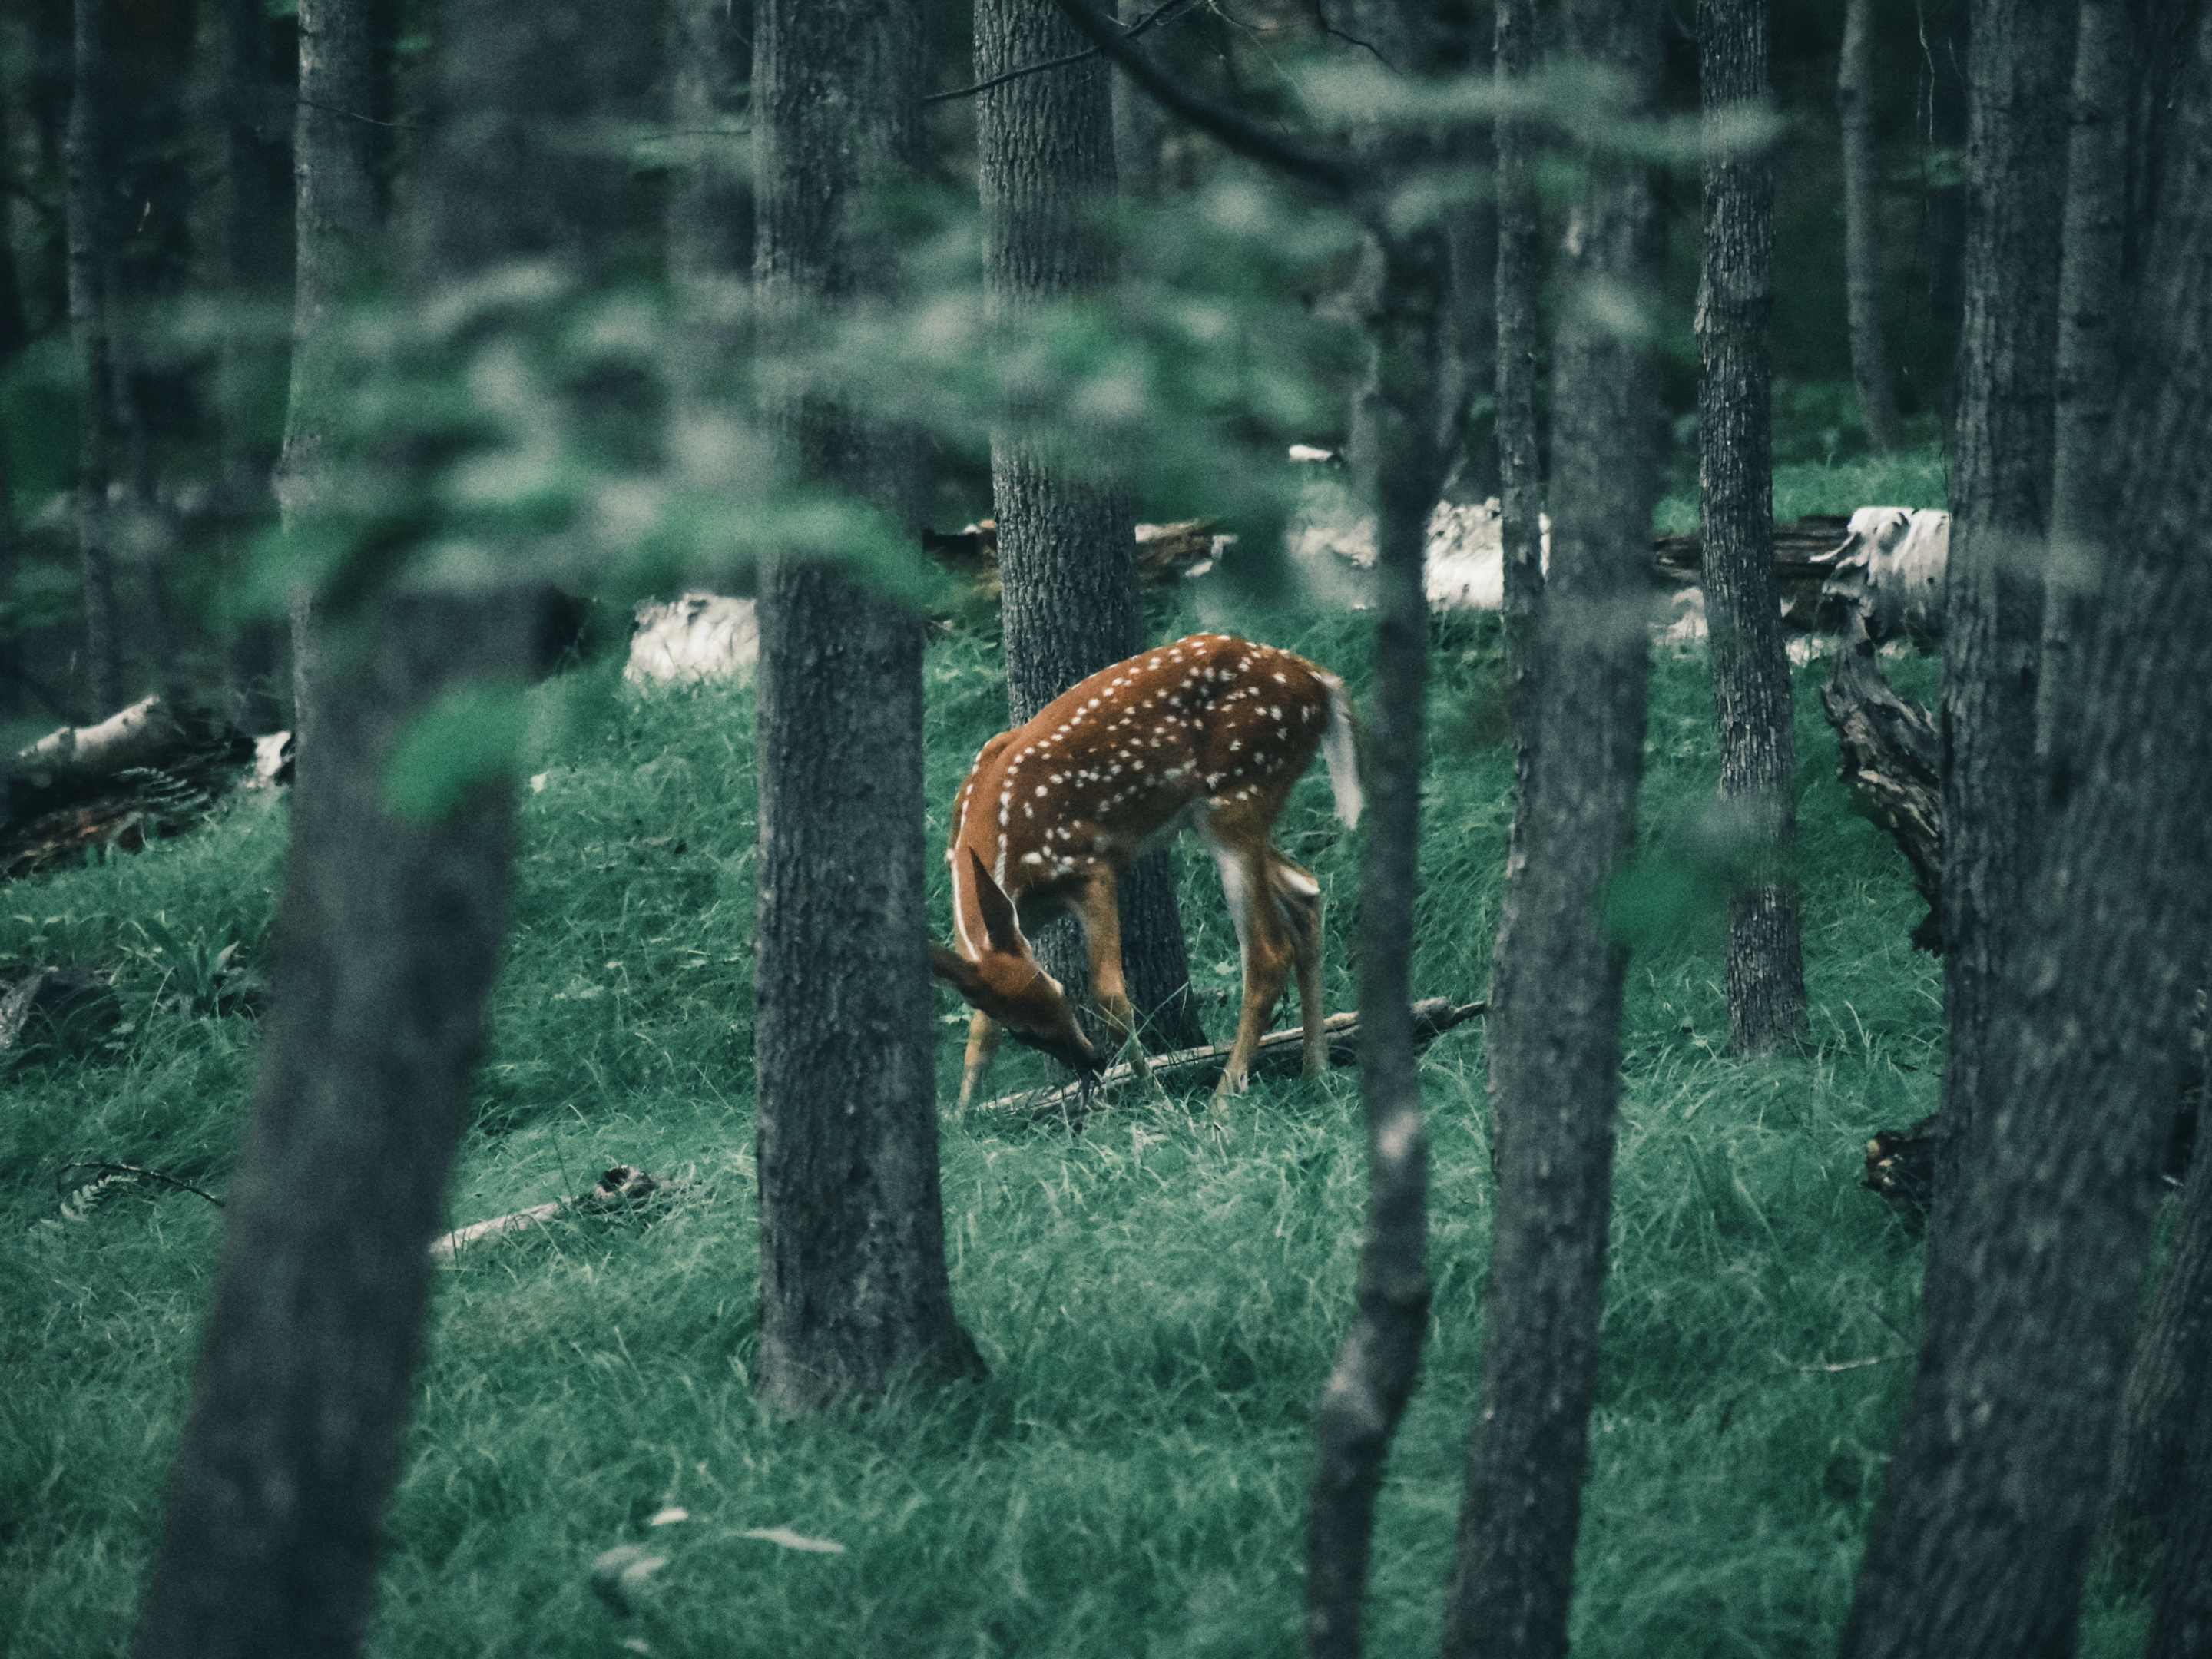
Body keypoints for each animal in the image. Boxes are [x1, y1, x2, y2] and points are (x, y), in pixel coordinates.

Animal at [924, 628, 1353, 1110]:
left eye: (1059, 991)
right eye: (1023, 1030)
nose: (1090, 1061)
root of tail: (1317, 680)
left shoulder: (1091, 865)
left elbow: (1109, 996)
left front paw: (1155, 1097)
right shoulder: (1018, 920)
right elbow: (980, 1035)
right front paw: (963, 1118)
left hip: (1239, 792)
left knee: (1268, 953)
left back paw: (1223, 1096)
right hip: (1231, 811)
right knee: (1305, 890)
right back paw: (1316, 1072)